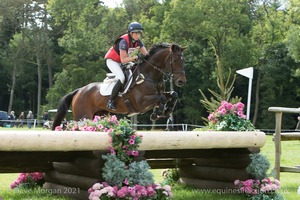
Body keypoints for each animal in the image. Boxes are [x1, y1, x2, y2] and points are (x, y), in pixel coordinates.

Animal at [52, 42, 186, 130]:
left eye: (183, 61)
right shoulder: (141, 103)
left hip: (99, 115)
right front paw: (157, 113)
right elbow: (161, 98)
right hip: (83, 117)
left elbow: (173, 94)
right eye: (175, 61)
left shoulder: (159, 94)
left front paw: (167, 110)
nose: (181, 81)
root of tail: (79, 91)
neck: (149, 76)